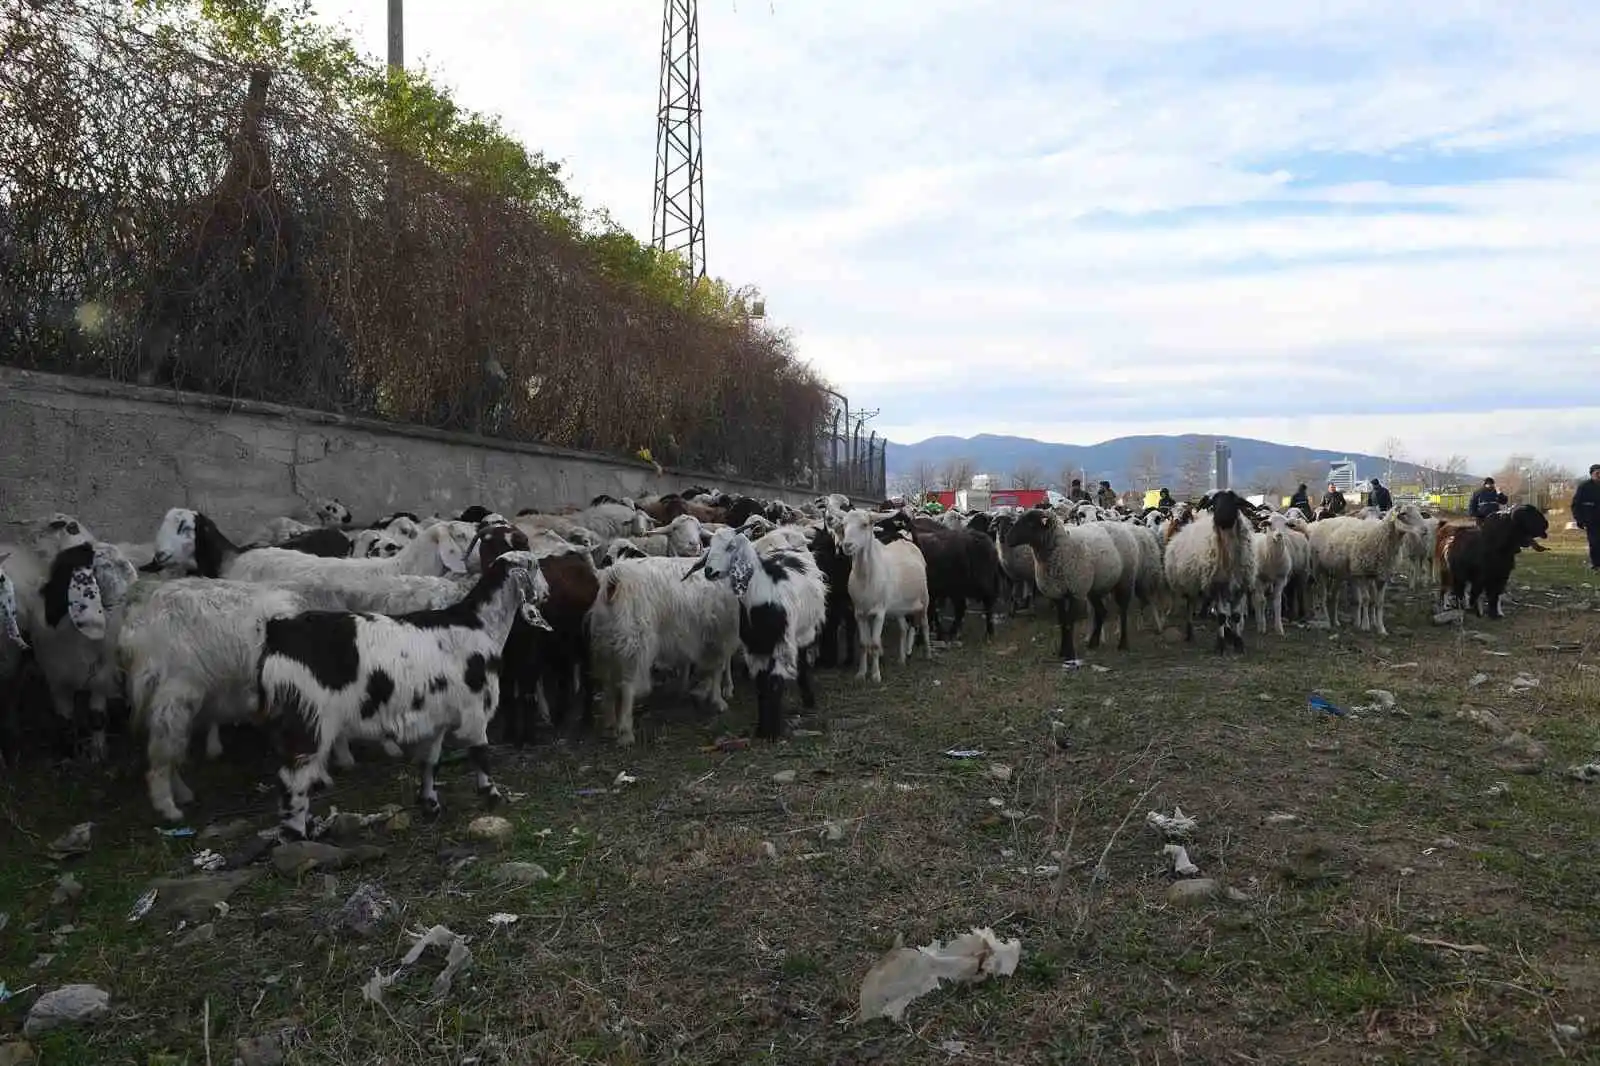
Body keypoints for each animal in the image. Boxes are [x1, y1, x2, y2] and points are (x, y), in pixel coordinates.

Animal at [585, 550, 739, 742]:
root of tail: (614, 579)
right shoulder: (719, 636)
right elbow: (717, 668)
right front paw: (718, 700)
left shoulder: (702, 637)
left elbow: (699, 666)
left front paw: (688, 689)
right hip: (635, 643)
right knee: (627, 685)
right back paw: (625, 732)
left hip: (607, 644)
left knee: (609, 684)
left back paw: (610, 724)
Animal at [832, 508, 934, 681]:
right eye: (844, 525)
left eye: (865, 524)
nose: (847, 545)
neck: (866, 577)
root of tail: (906, 542)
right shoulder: (860, 613)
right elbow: (863, 644)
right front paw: (861, 674)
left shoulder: (879, 612)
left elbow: (874, 643)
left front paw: (875, 676)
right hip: (898, 607)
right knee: (903, 628)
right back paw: (901, 659)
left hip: (924, 598)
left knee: (925, 624)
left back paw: (928, 654)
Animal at [998, 505, 1139, 659]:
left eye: (1030, 523)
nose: (1007, 539)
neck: (1062, 547)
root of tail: (1118, 525)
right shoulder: (1057, 593)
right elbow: (1062, 621)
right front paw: (1063, 652)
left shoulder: (1075, 592)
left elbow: (1069, 622)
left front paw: (1069, 653)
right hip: (1093, 587)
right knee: (1101, 611)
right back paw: (1093, 642)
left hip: (1125, 579)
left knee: (1123, 611)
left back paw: (1123, 644)